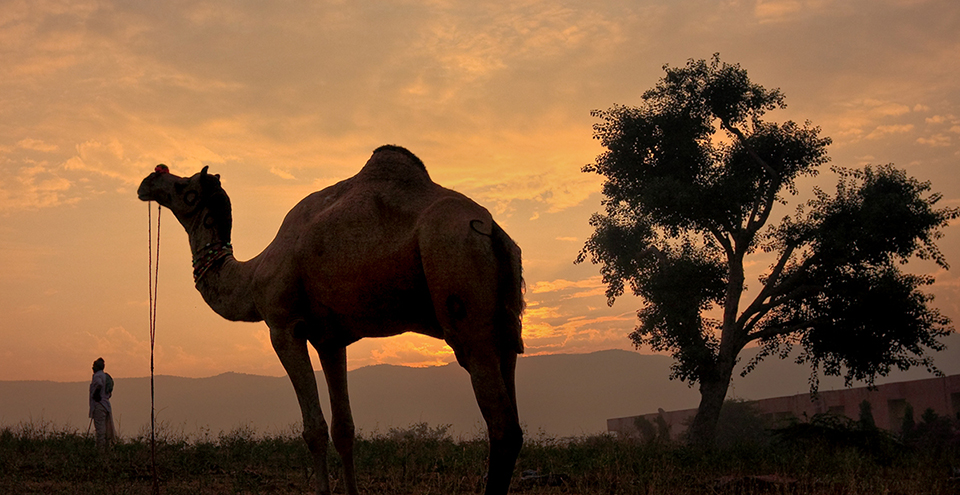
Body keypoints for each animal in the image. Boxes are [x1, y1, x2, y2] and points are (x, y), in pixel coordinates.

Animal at [137, 145, 524, 495]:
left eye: (183, 185)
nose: (148, 179)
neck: (252, 275)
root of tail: (490, 230)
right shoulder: (331, 340)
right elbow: (344, 428)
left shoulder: (283, 326)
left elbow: (315, 430)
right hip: (505, 327)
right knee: (513, 412)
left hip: (462, 298)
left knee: (501, 425)